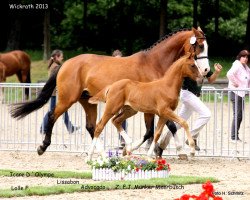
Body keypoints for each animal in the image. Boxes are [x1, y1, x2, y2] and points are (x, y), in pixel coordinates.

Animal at [9, 27, 210, 157]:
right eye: (200, 46)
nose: (206, 71)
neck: (154, 63)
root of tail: (66, 63)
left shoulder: (153, 107)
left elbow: (158, 129)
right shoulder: (153, 107)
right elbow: (161, 128)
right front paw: (178, 149)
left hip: (87, 101)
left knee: (92, 126)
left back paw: (101, 151)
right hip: (67, 99)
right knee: (53, 116)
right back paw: (43, 147)